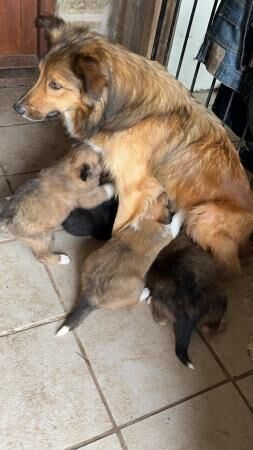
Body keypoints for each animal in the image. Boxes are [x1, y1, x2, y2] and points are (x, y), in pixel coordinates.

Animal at [14, 15, 253, 272]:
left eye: (55, 85)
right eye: (39, 74)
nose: (17, 108)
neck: (120, 105)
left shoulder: (134, 190)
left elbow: (119, 227)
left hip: (204, 214)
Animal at [56, 192, 185, 336]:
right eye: (166, 204)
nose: (165, 192)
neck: (148, 217)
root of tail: (89, 297)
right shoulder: (170, 231)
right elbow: (177, 220)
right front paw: (185, 210)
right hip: (137, 283)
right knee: (133, 300)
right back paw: (145, 292)